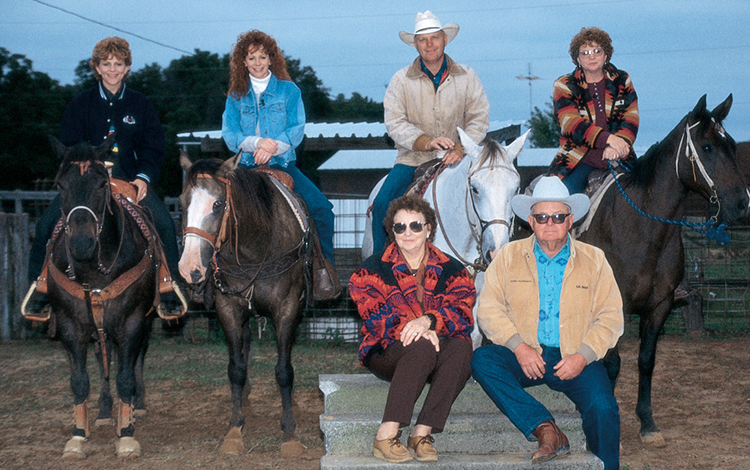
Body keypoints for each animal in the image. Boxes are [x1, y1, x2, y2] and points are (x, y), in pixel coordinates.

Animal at [44, 136, 162, 458]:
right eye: (60, 184)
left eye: (100, 184)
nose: (81, 243)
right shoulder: (70, 326)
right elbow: (80, 381)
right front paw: (77, 435)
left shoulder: (133, 322)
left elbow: (126, 375)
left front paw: (127, 434)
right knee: (102, 358)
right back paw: (106, 411)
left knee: (136, 358)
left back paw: (136, 406)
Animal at [179, 154, 308, 456]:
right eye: (181, 202)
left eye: (218, 204)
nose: (189, 268)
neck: (255, 250)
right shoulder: (228, 309)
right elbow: (236, 369)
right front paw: (235, 428)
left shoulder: (287, 309)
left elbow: (284, 371)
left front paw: (289, 432)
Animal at [576, 94, 748, 444]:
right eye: (707, 147)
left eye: (731, 145)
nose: (742, 204)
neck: (642, 229)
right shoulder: (615, 307)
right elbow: (613, 363)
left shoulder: (660, 306)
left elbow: (646, 361)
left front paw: (647, 423)